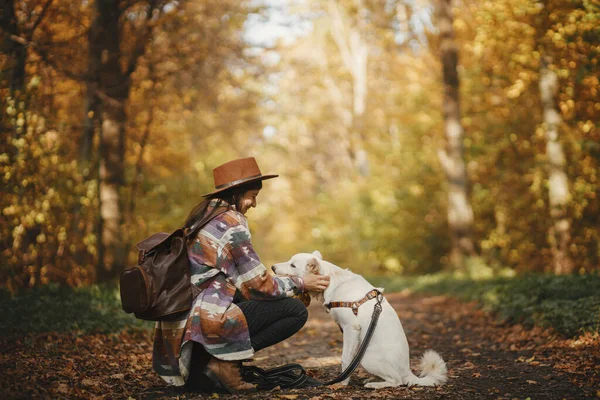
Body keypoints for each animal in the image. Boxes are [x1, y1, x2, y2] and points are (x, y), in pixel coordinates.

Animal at [270, 250, 446, 388]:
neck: (332, 281)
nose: (272, 267)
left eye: (293, 265)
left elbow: (345, 359)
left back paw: (375, 384)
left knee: (397, 381)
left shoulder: (350, 328)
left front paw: (341, 382)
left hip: (366, 358)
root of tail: (407, 371)